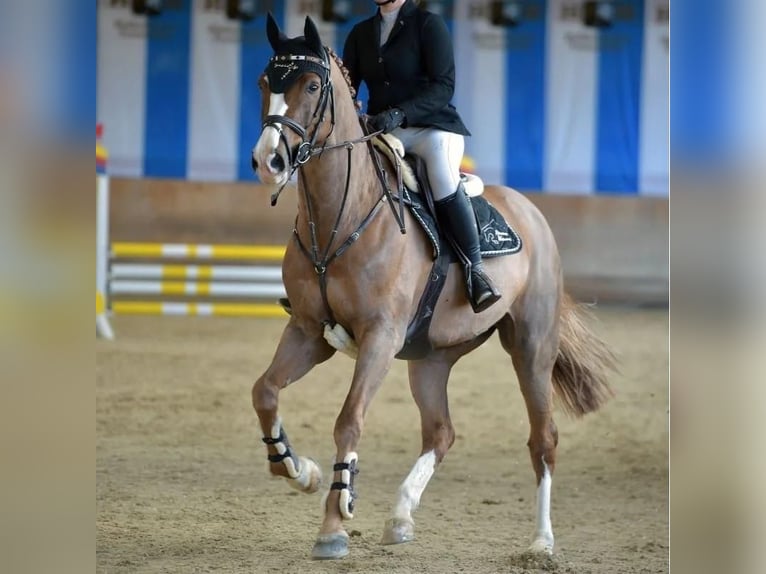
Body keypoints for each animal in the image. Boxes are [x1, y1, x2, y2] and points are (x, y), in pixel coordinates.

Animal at [250, 14, 615, 560]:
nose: (268, 161)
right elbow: (265, 392)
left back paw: (541, 542)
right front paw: (301, 471)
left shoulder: (379, 338)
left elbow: (349, 419)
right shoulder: (309, 332)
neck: (341, 217)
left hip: (531, 347)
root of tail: (529, 210)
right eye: (263, 83)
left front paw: (334, 524)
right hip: (430, 357)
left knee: (543, 438)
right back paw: (400, 516)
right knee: (441, 433)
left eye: (312, 86)